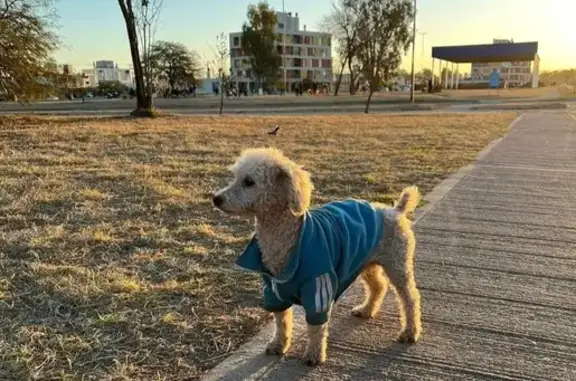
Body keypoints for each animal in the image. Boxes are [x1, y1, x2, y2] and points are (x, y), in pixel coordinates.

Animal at [214, 147, 420, 364]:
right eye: (235, 178)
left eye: (249, 182)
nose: (216, 198)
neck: (288, 237)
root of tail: (395, 210)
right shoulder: (273, 290)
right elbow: (281, 321)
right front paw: (279, 344)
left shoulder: (318, 286)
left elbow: (316, 328)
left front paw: (313, 354)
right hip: (367, 263)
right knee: (378, 286)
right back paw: (366, 310)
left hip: (398, 264)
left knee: (410, 298)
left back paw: (410, 332)